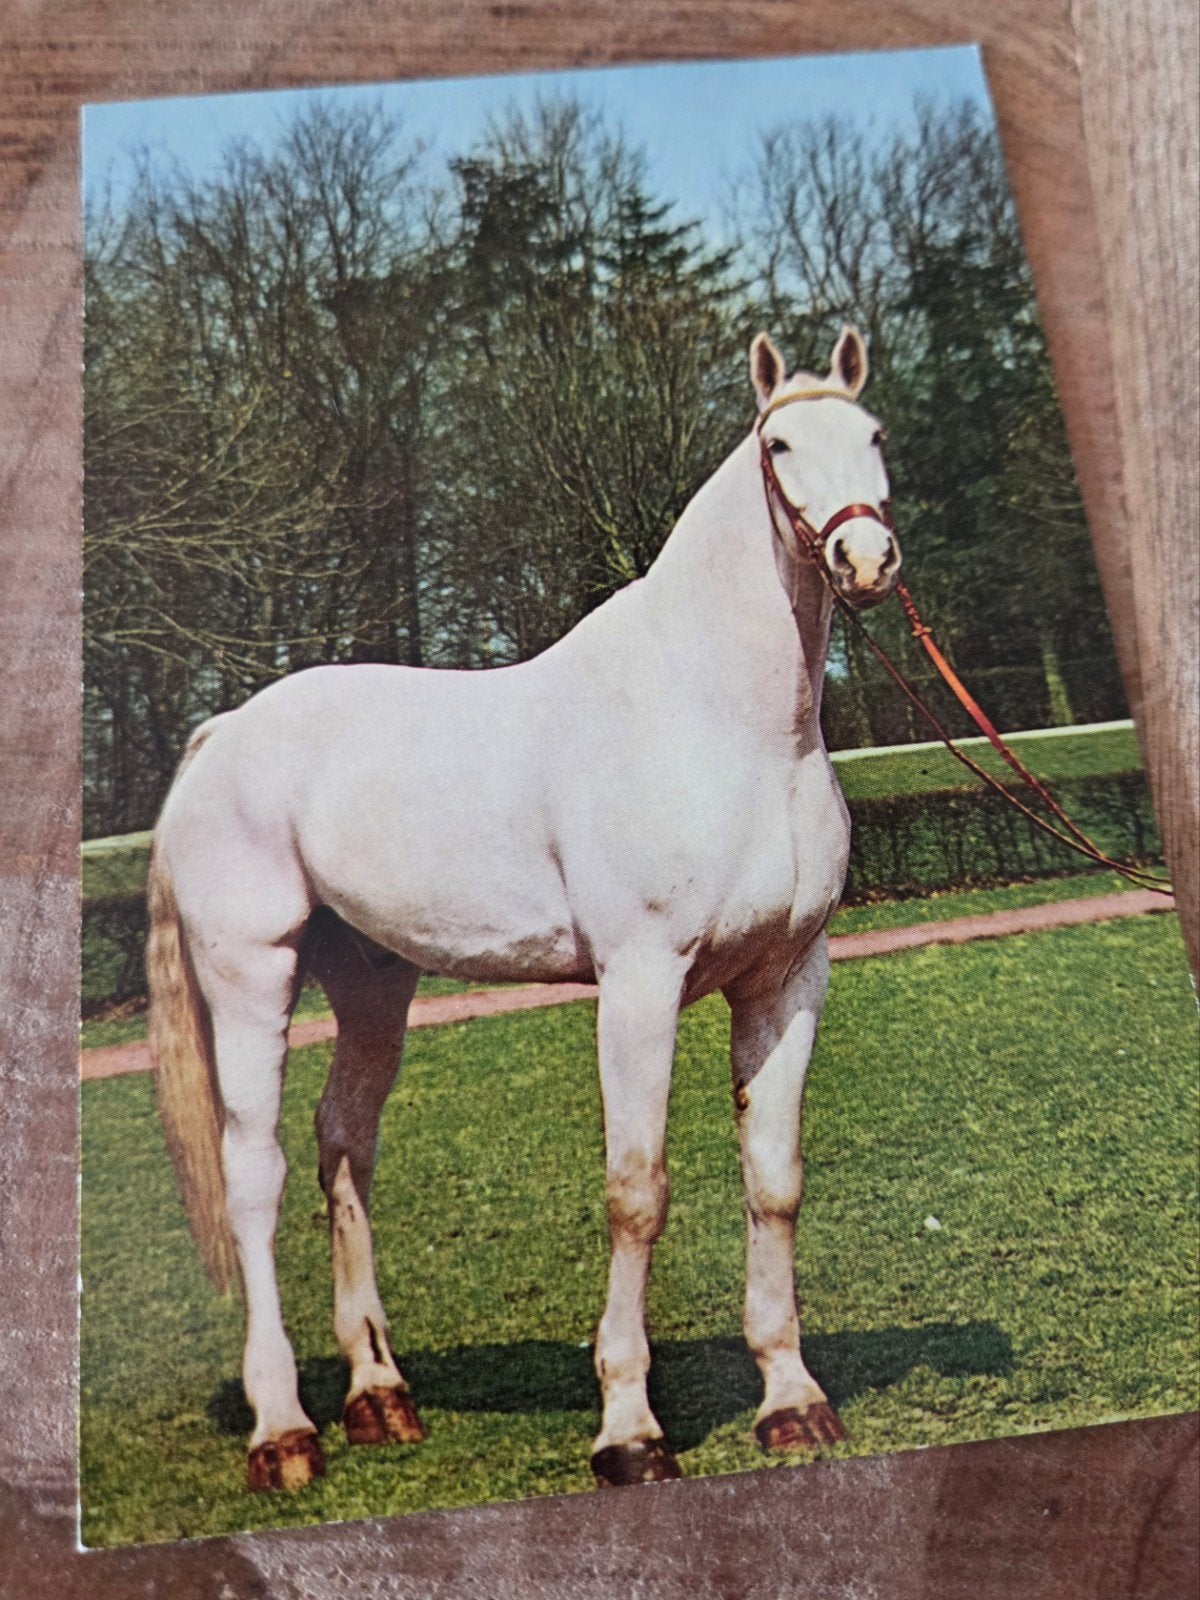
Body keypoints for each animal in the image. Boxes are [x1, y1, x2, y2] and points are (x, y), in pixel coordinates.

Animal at [147, 324, 901, 1493]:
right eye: (779, 445)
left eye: (872, 434)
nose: (866, 561)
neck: (723, 722)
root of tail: (222, 732)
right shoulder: (638, 984)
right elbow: (637, 1190)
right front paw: (629, 1431)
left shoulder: (787, 981)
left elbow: (773, 1180)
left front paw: (793, 1401)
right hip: (249, 975)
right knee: (254, 1176)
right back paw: (285, 1432)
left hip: (372, 980)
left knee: (343, 1143)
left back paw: (380, 1396)